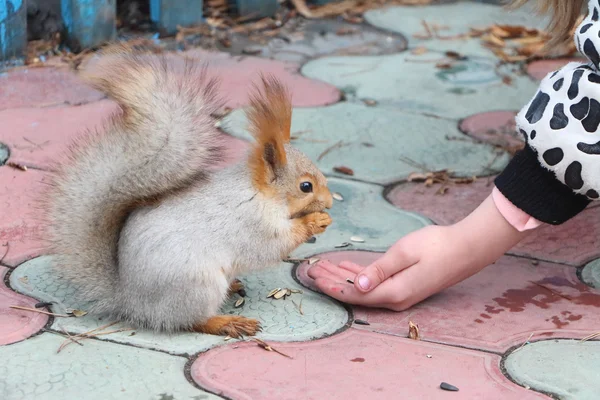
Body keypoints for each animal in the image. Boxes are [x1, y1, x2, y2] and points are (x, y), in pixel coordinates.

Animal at [42, 47, 332, 340]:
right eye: (305, 186)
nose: (330, 202)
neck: (260, 194)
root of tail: (131, 300)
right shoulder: (254, 224)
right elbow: (274, 246)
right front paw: (314, 221)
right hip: (198, 284)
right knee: (189, 321)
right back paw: (227, 322)